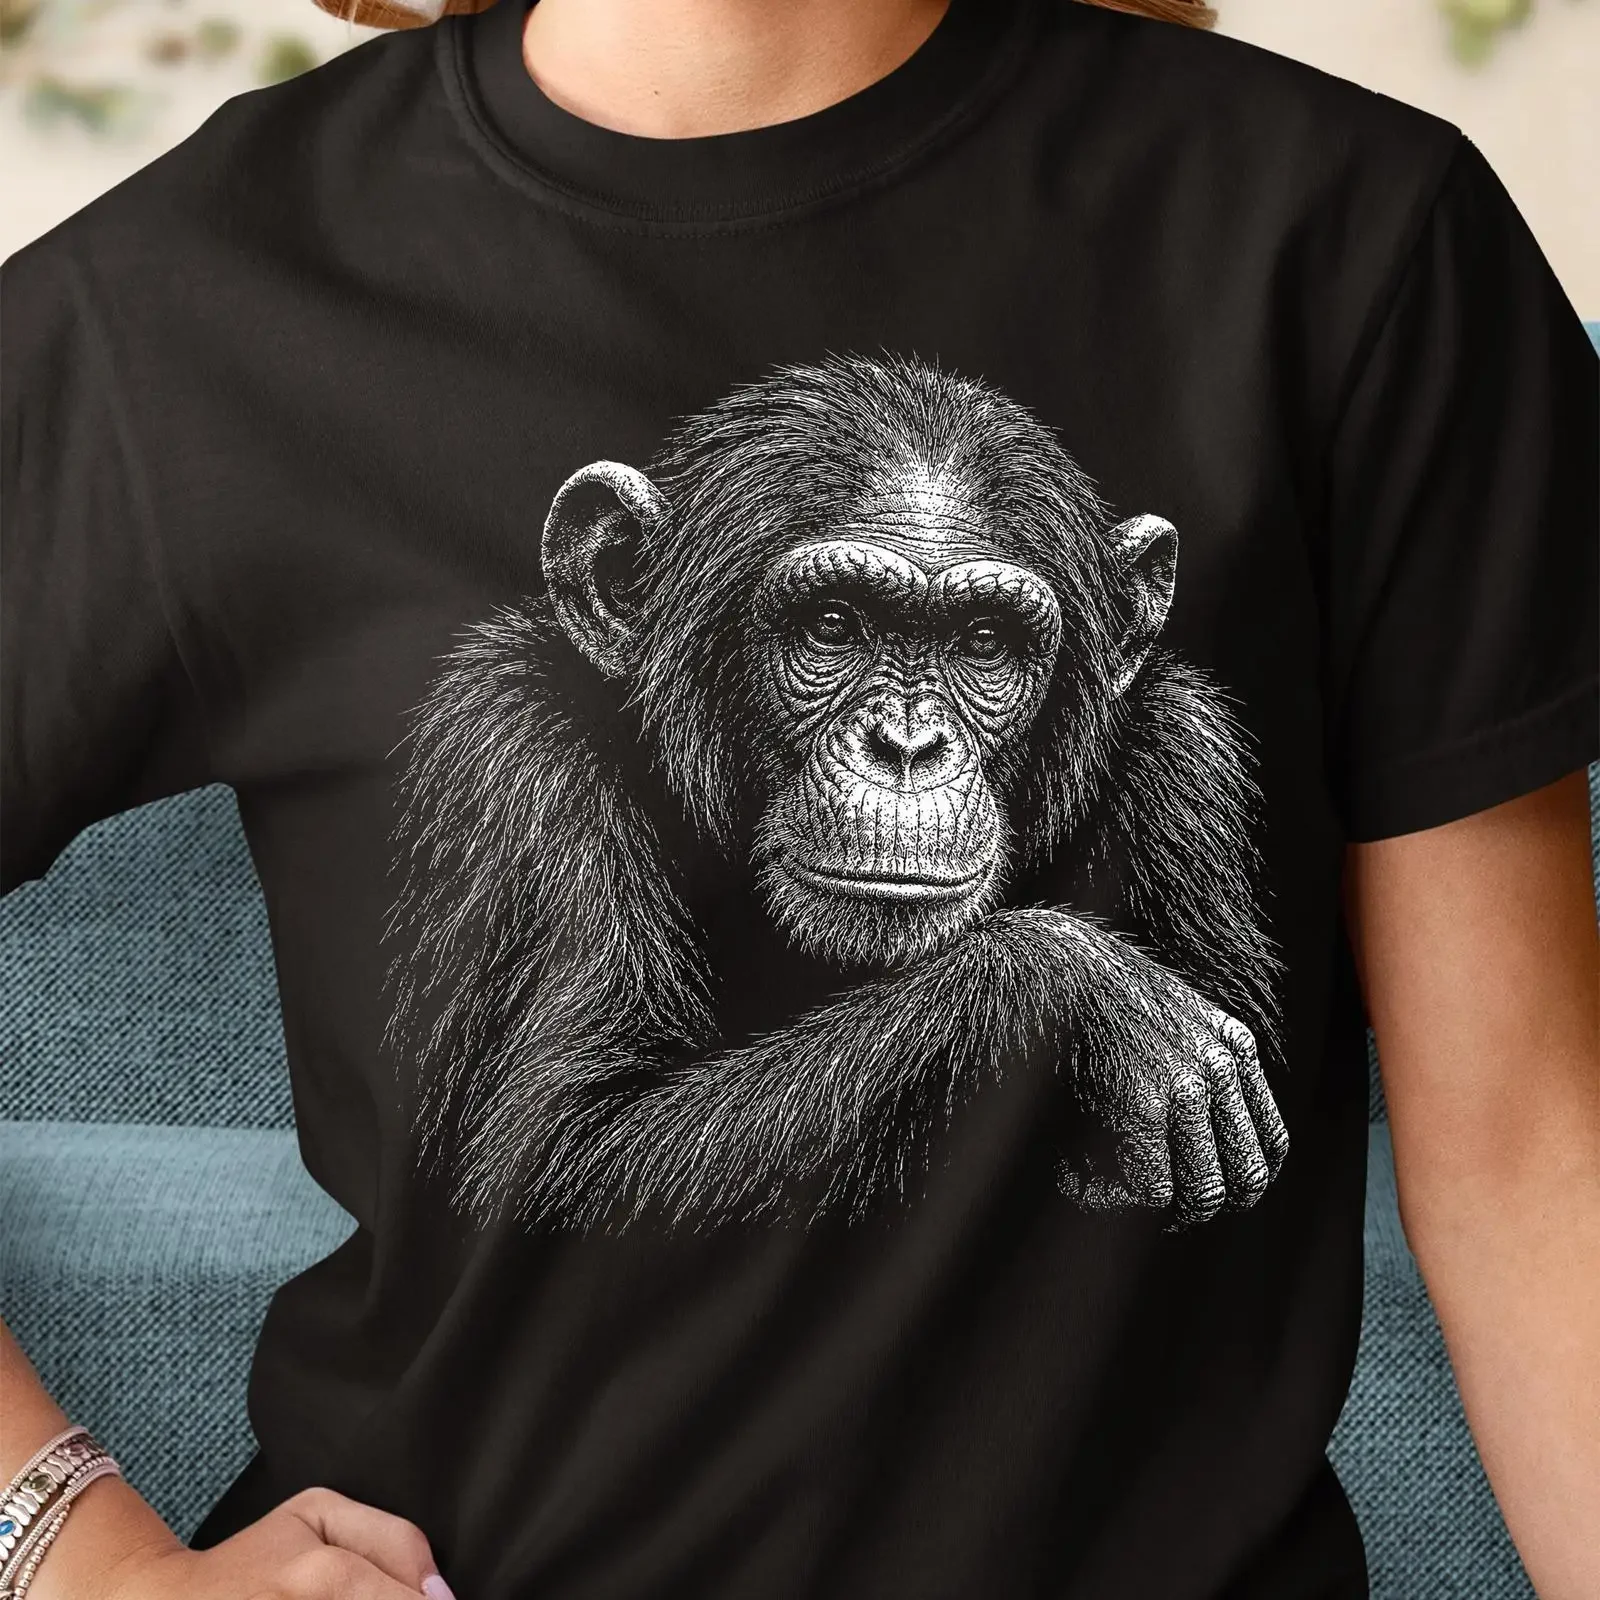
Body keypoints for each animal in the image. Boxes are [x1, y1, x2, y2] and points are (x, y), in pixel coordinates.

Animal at [383, 353, 1289, 1235]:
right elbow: (560, 1154)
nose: (908, 747)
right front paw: (1099, 993)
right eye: (832, 625)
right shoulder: (513, 756)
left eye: (985, 642)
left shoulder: (1186, 766)